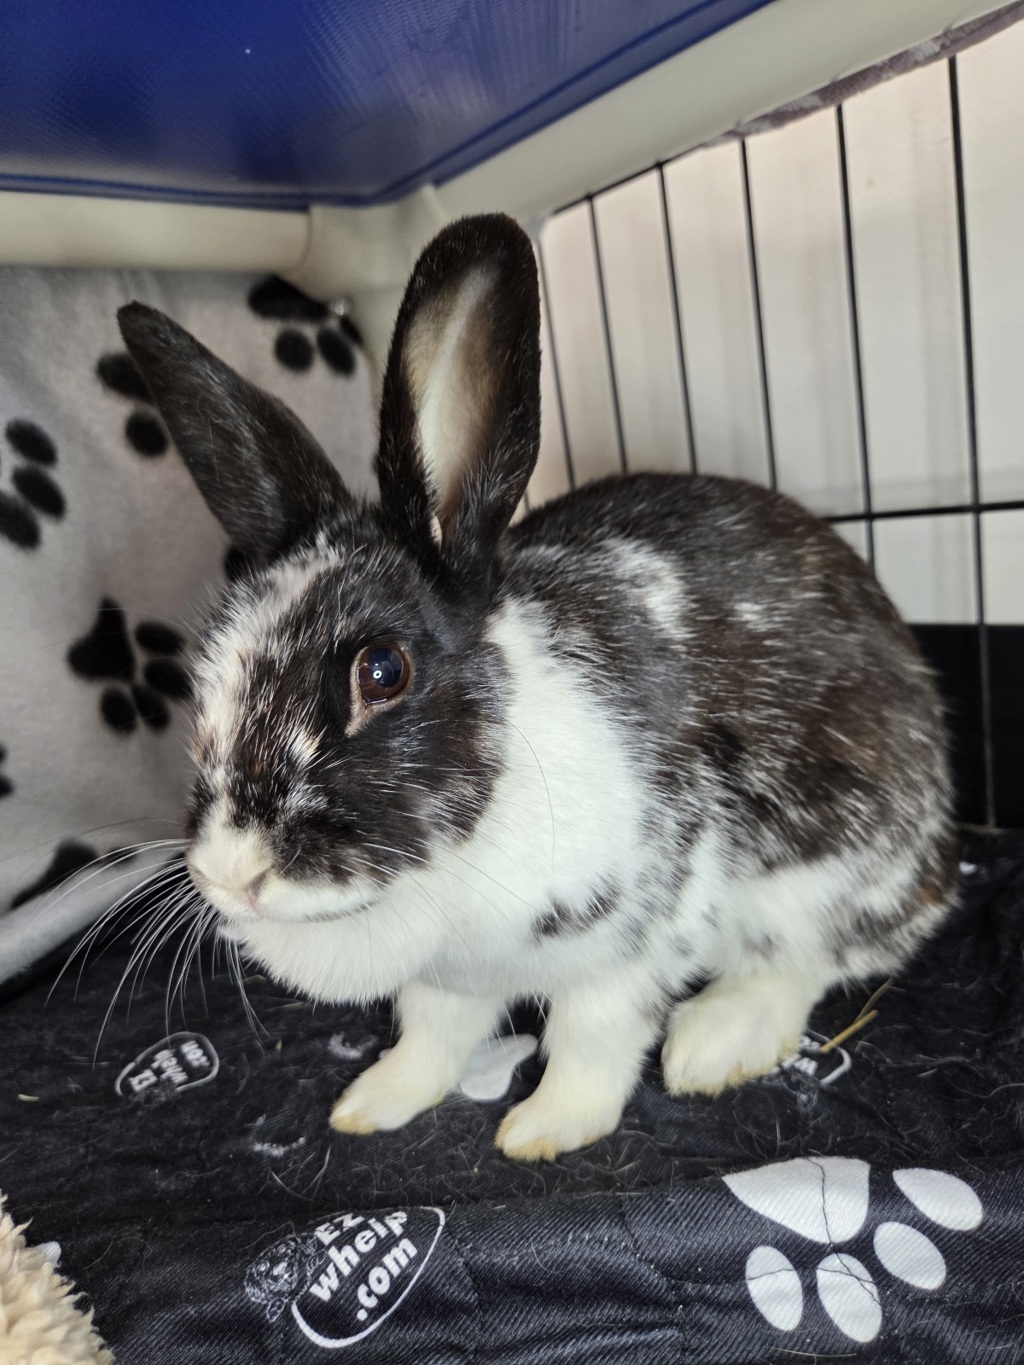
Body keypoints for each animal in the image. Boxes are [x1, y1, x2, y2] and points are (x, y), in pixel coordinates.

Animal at [117, 213, 956, 1162]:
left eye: (382, 670)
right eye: (203, 672)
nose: (232, 872)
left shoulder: (632, 940)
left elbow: (591, 1036)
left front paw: (545, 1128)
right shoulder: (445, 981)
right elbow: (430, 1035)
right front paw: (372, 1102)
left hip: (823, 868)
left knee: (818, 956)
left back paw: (714, 1041)